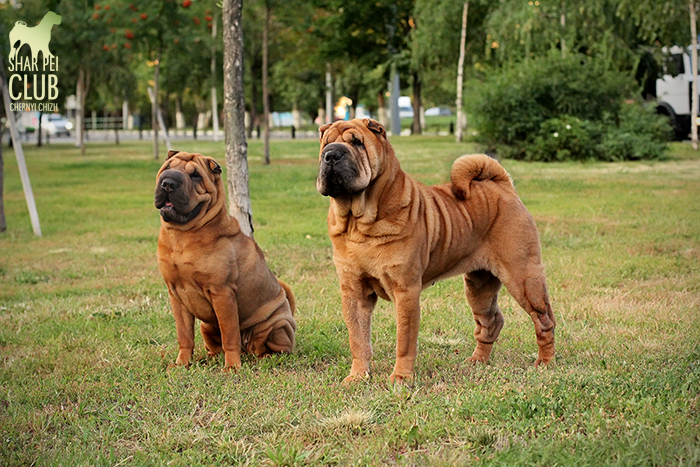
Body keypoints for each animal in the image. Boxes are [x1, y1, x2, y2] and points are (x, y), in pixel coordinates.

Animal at [155, 150, 296, 370]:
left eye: (195, 175)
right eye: (167, 167)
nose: (168, 183)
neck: (183, 235)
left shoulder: (222, 293)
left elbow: (230, 335)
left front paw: (232, 367)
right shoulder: (176, 295)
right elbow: (184, 336)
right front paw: (181, 363)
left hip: (277, 326)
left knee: (276, 348)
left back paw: (264, 356)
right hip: (206, 325)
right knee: (215, 346)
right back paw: (209, 358)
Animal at [316, 119, 555, 384]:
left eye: (357, 142)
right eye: (325, 143)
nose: (331, 155)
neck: (358, 225)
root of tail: (503, 187)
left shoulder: (406, 291)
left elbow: (404, 341)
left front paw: (401, 378)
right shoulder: (354, 292)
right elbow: (358, 339)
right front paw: (358, 377)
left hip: (523, 278)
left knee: (544, 320)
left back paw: (545, 363)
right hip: (479, 286)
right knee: (491, 321)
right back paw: (477, 361)